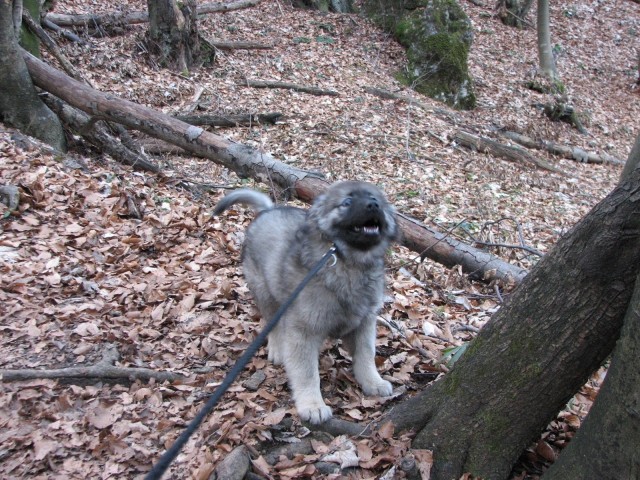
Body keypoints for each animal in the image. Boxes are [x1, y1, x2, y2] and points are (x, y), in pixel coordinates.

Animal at [212, 181, 398, 424]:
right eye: (346, 202)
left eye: (375, 199)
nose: (373, 205)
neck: (347, 261)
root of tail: (268, 210)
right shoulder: (304, 331)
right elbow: (307, 372)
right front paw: (313, 405)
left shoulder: (364, 322)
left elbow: (367, 355)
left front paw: (373, 382)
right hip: (267, 293)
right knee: (273, 323)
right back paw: (277, 349)